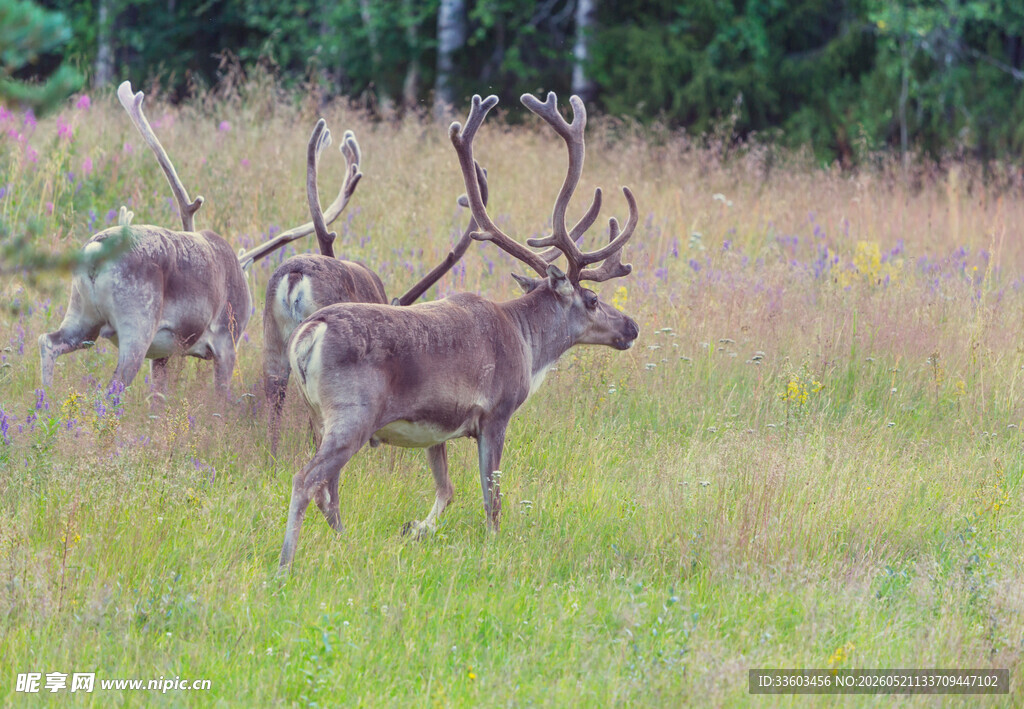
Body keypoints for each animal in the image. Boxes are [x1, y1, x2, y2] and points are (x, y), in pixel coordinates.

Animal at [38, 81, 361, 396]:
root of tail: (95, 251)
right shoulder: (227, 341)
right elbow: (221, 396)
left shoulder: (162, 354)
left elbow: (158, 397)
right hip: (136, 325)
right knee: (112, 386)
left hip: (82, 316)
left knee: (47, 342)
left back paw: (46, 399)